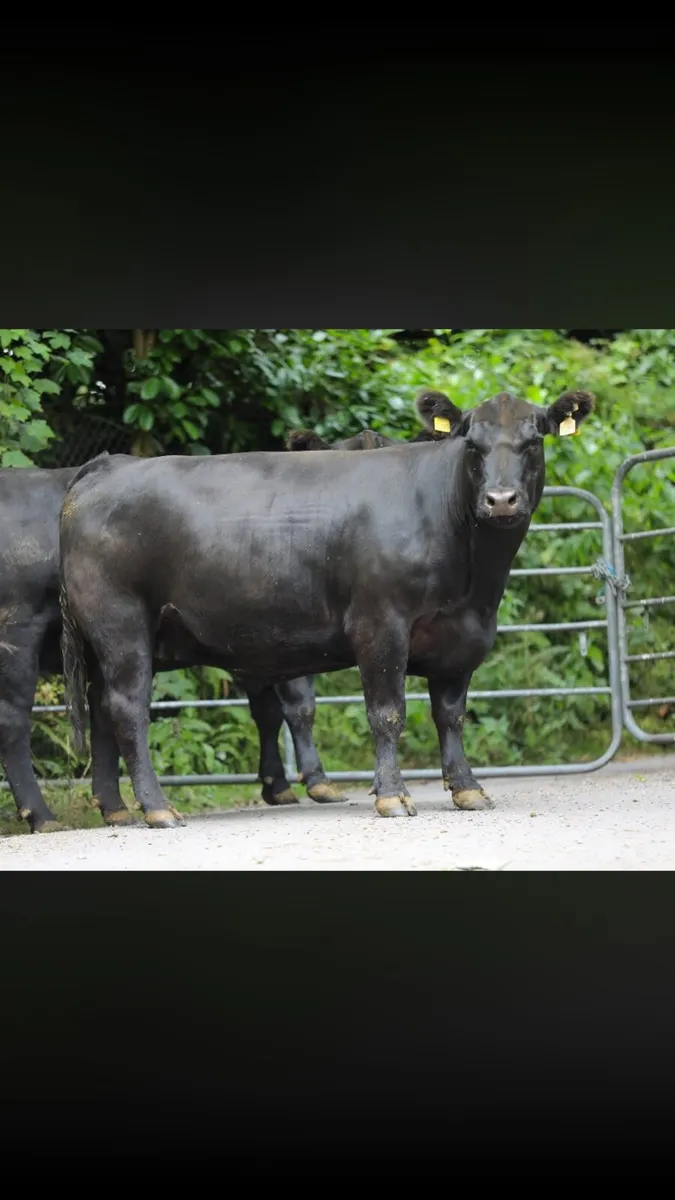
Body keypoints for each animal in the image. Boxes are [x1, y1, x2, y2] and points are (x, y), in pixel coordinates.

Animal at [58, 387, 594, 829]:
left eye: (534, 441)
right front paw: (393, 796)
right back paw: (158, 808)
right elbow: (388, 713)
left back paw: (119, 809)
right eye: (471, 446)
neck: (474, 580)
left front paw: (467, 788)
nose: (500, 500)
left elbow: (451, 716)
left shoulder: (460, 640)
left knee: (102, 711)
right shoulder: (380, 625)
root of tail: (106, 466)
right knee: (128, 710)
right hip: (122, 626)